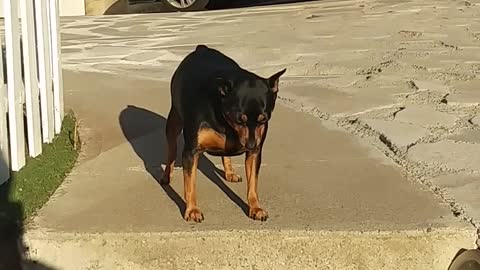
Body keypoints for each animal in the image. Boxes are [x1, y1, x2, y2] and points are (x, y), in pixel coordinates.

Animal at [163, 44, 286, 221]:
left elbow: (253, 184)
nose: (250, 145)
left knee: (226, 154)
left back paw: (229, 172)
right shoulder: (191, 152)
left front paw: (255, 208)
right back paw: (166, 176)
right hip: (174, 120)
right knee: (171, 150)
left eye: (263, 120)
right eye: (239, 120)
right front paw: (192, 210)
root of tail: (202, 49)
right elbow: (190, 184)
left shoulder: (255, 153)